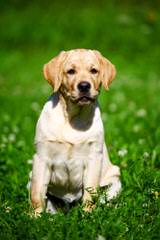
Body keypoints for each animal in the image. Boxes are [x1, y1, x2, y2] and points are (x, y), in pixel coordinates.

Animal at [29, 48, 120, 216]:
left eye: (94, 71)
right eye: (71, 71)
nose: (84, 86)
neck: (72, 117)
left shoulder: (93, 158)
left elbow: (90, 192)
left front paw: (88, 215)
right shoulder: (41, 158)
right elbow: (37, 193)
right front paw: (34, 217)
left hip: (115, 179)